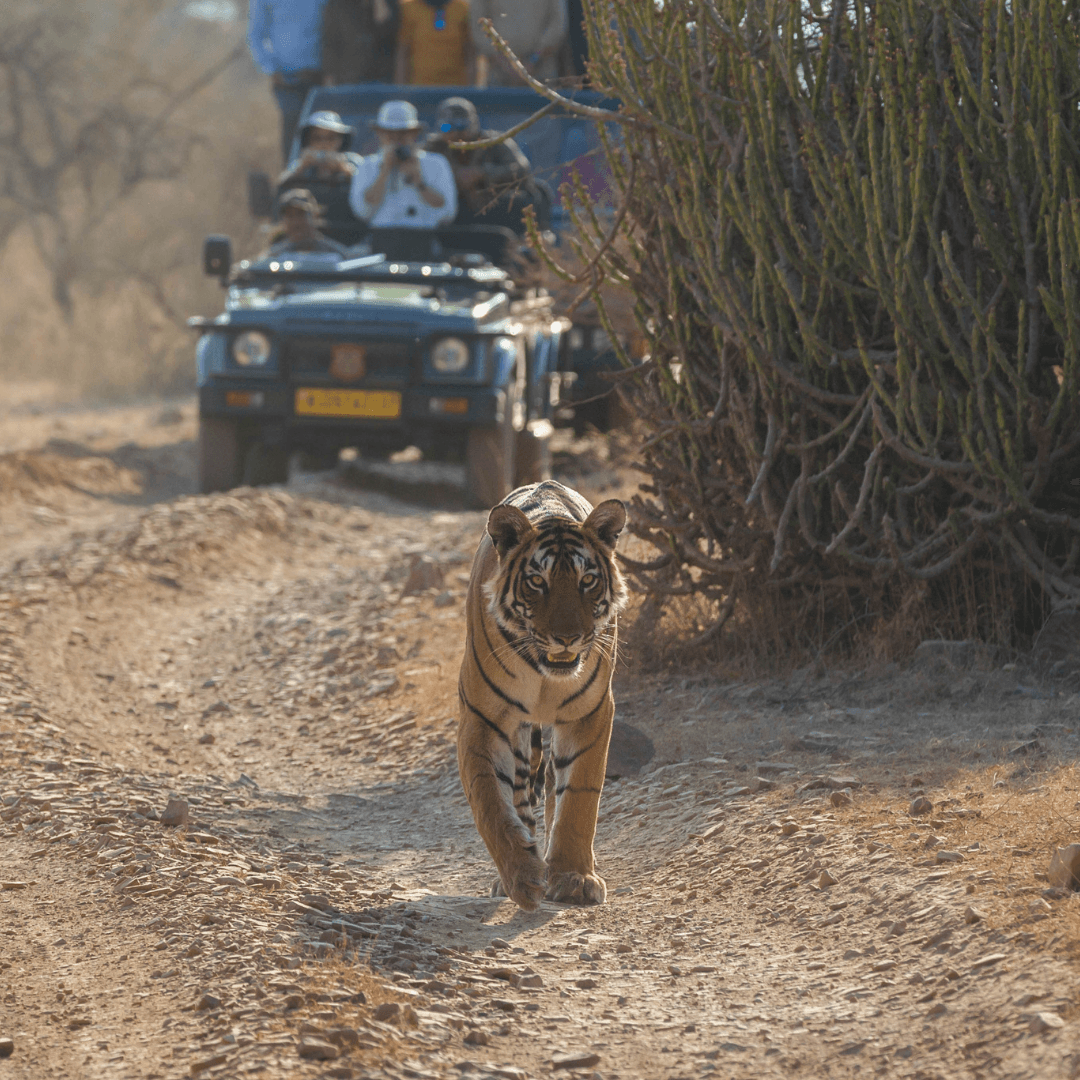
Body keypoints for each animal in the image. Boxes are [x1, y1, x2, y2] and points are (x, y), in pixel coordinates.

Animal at [456, 480, 627, 910]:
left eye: (588, 581)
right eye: (537, 582)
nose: (567, 637)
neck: (544, 675)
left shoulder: (591, 713)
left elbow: (578, 798)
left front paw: (573, 877)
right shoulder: (483, 719)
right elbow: (491, 802)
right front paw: (522, 876)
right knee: (520, 794)